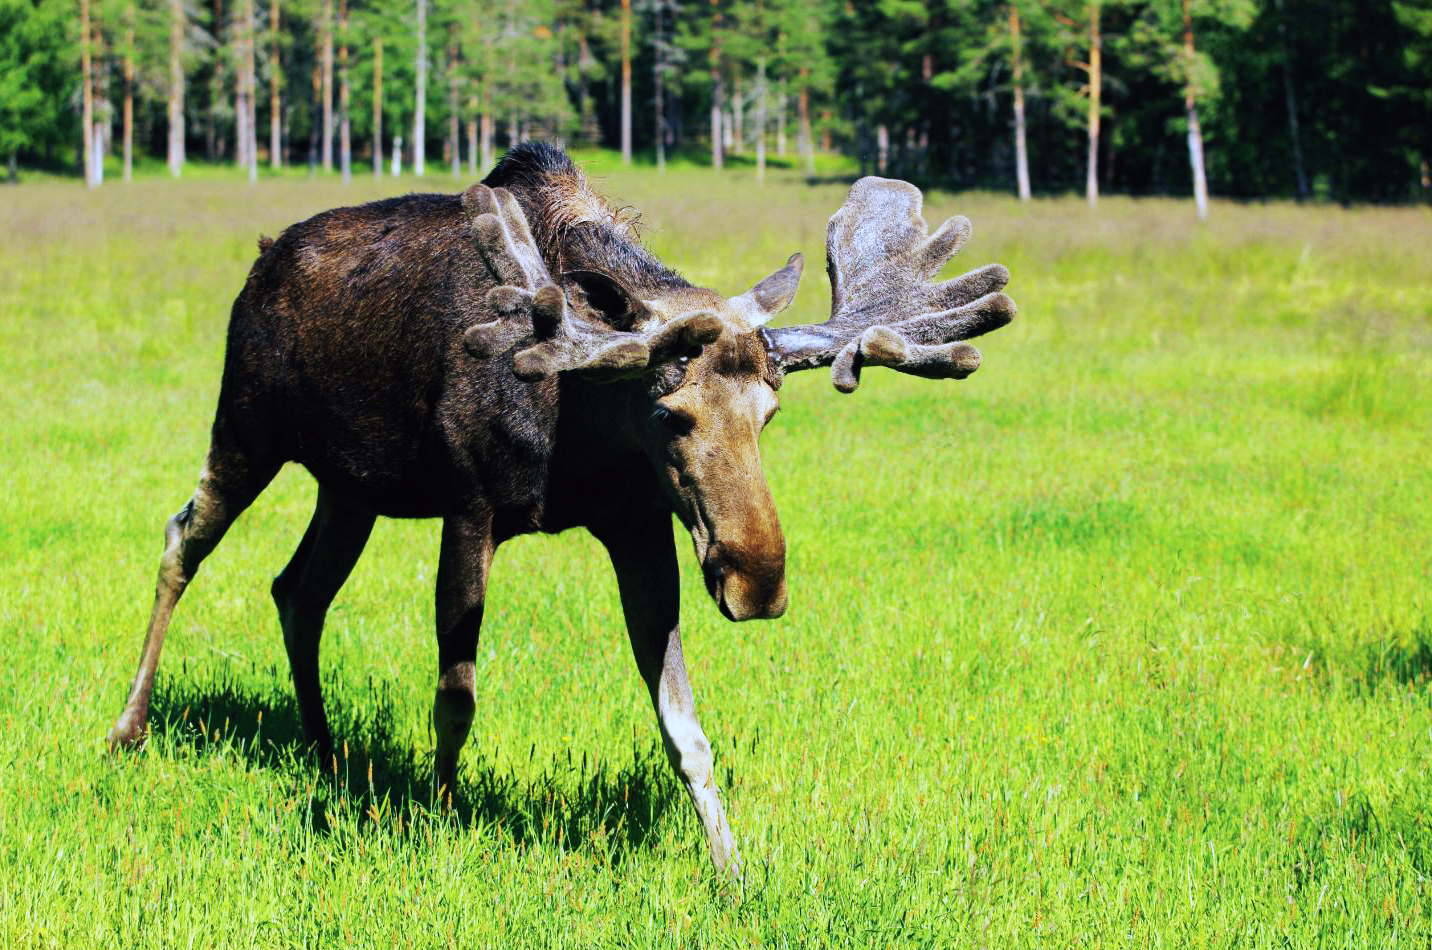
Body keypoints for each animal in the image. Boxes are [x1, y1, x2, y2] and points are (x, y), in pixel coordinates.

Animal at [105, 137, 1013, 871]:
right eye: (670, 414)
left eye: (771, 414)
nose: (757, 581)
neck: (581, 421)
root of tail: (260, 261)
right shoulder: (471, 507)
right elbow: (457, 697)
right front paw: (438, 819)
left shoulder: (639, 527)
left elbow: (685, 727)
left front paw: (732, 869)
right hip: (246, 425)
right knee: (184, 538)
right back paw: (129, 727)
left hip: (350, 486)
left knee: (298, 590)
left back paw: (326, 754)